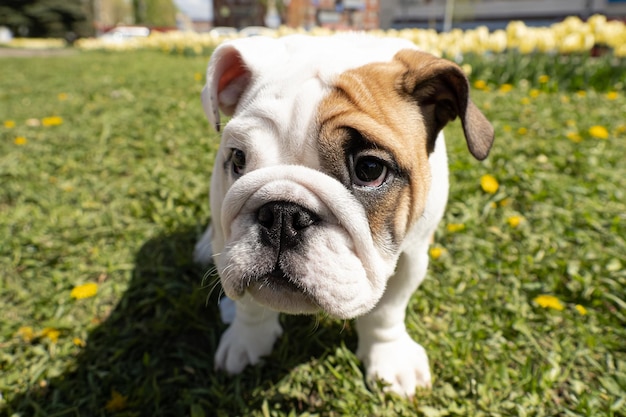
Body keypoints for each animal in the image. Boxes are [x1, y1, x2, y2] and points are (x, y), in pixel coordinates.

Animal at [195, 35, 492, 396]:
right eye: (238, 158)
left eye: (370, 169)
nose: (282, 214)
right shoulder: (230, 241)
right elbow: (251, 306)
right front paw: (246, 342)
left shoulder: (412, 254)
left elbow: (388, 311)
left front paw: (389, 357)